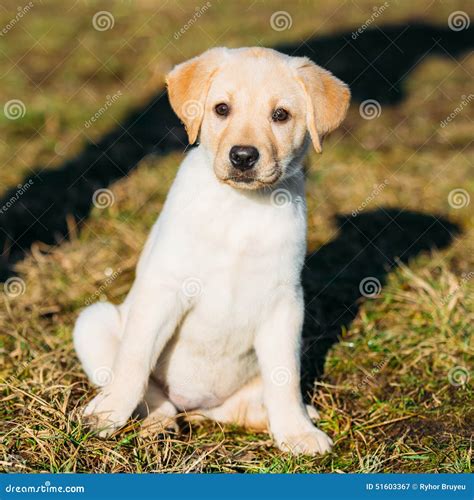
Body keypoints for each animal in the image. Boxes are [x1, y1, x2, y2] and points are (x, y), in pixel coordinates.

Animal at [73, 46, 348, 454]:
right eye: (221, 109)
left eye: (280, 115)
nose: (244, 156)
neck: (240, 206)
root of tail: (198, 407)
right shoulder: (166, 289)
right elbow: (135, 360)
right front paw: (108, 413)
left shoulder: (284, 301)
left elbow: (285, 376)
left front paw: (297, 432)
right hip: (94, 321)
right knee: (154, 395)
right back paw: (157, 425)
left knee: (250, 403)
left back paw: (285, 416)